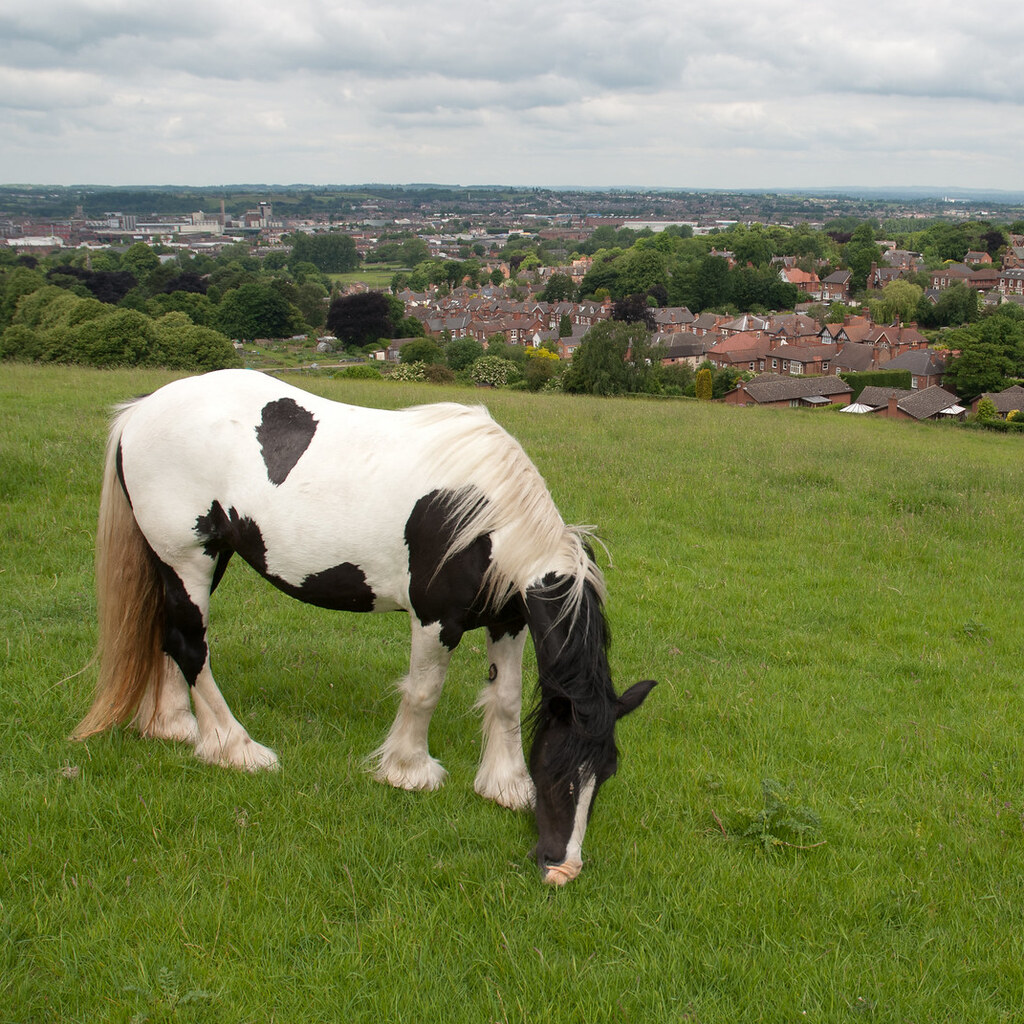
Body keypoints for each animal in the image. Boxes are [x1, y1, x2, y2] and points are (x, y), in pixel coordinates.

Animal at [73, 369, 655, 884]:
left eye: (604, 773)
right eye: (557, 769)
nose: (562, 869)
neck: (490, 520)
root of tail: (140, 410)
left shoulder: (507, 621)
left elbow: (506, 698)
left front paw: (504, 785)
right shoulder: (435, 619)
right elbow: (424, 691)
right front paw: (409, 771)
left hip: (195, 561)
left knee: (170, 636)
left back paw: (173, 724)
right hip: (189, 559)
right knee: (192, 646)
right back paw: (237, 749)